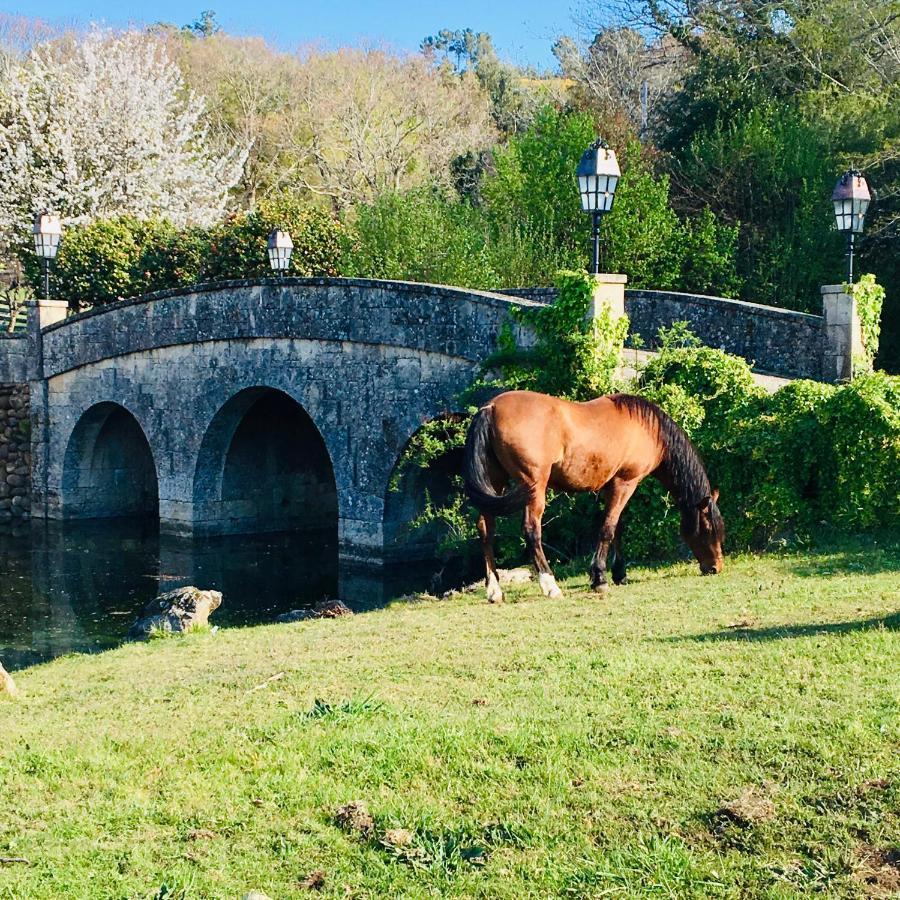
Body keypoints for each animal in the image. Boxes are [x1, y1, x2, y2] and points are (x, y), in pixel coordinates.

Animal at [464, 390, 724, 600]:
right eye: (708, 528)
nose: (716, 567)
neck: (649, 429)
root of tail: (491, 408)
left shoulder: (612, 487)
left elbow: (617, 527)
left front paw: (619, 574)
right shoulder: (626, 483)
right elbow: (607, 529)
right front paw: (600, 578)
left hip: (495, 483)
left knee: (486, 529)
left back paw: (494, 590)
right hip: (534, 487)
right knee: (531, 530)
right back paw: (550, 585)